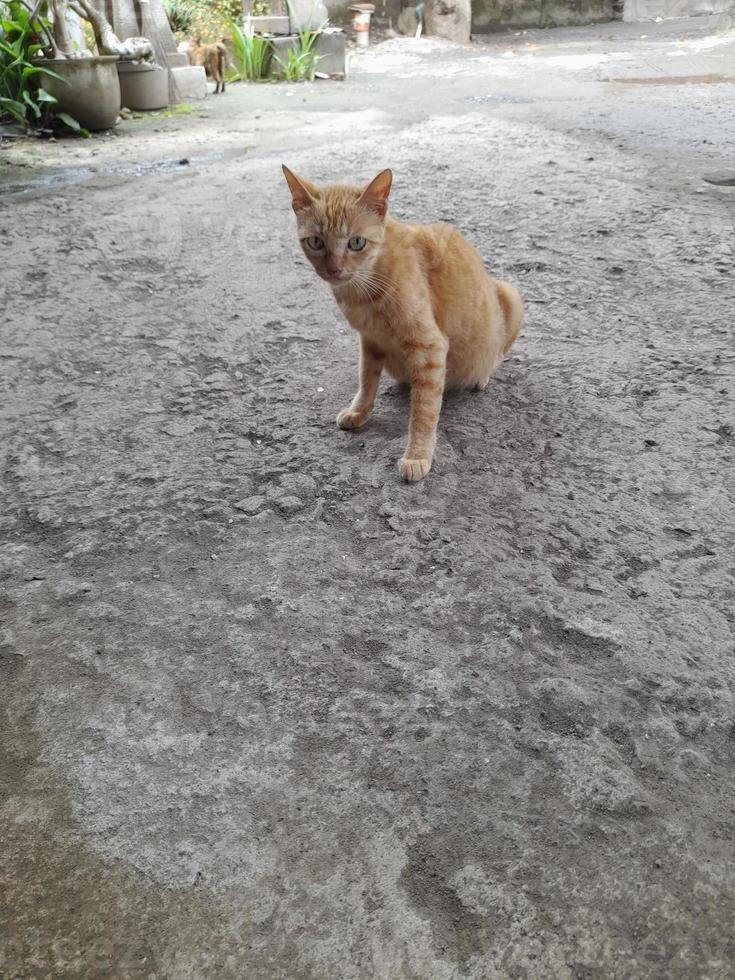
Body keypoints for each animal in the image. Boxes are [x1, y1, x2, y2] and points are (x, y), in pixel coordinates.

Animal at [282, 167, 524, 482]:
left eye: (356, 242)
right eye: (316, 242)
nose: (334, 270)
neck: (363, 287)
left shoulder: (430, 349)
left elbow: (424, 410)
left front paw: (417, 455)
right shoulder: (370, 340)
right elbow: (366, 380)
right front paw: (359, 411)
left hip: (510, 293)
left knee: (498, 356)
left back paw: (481, 376)